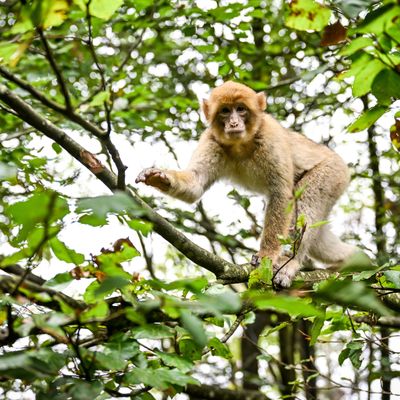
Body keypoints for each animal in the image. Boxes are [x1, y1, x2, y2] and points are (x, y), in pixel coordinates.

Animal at [136, 82, 358, 288]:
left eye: (241, 109)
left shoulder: (270, 137)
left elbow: (280, 194)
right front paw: (159, 177)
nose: (234, 123)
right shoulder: (211, 140)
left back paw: (291, 263)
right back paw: (352, 259)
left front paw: (267, 255)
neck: (241, 144)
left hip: (332, 173)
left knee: (306, 203)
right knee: (318, 238)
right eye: (225, 111)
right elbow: (195, 184)